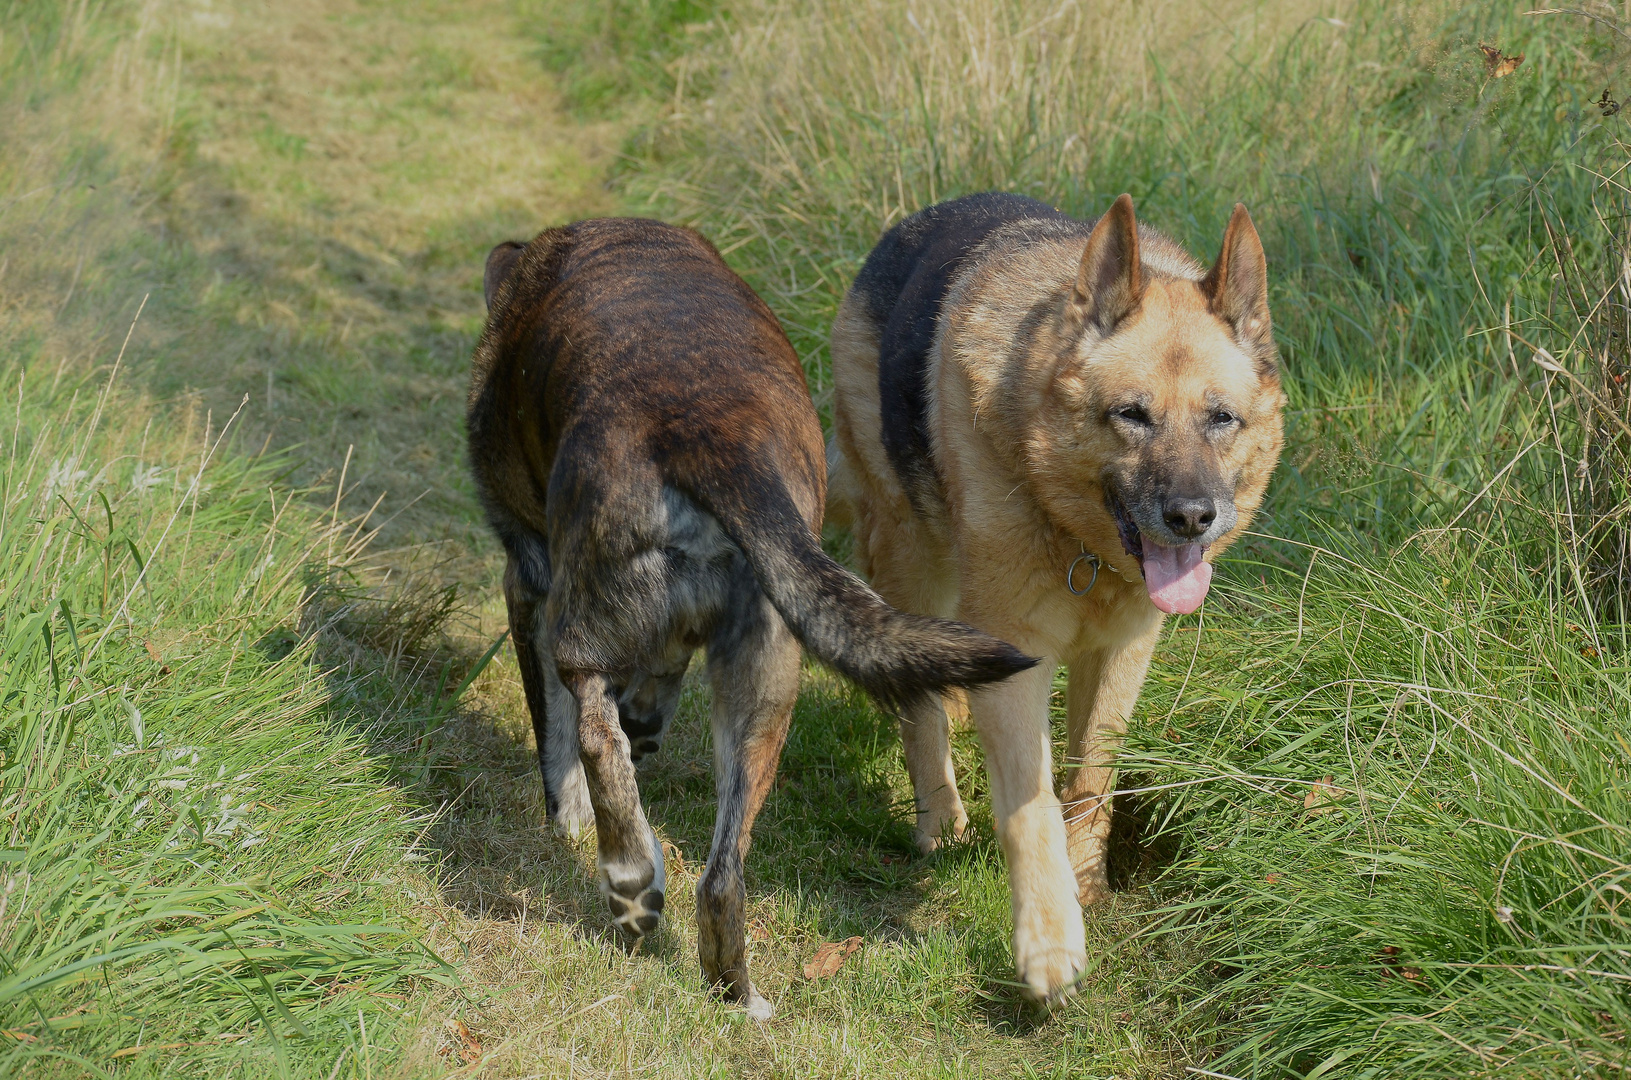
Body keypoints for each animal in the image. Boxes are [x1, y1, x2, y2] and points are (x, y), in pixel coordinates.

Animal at [466, 215, 1037, 1018]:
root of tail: (713, 435)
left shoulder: (528, 579)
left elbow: (553, 737)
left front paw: (568, 818)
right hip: (766, 688)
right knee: (720, 876)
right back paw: (733, 989)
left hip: (583, 625)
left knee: (594, 735)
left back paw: (630, 882)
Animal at [828, 190, 1285, 1004]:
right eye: (1130, 415)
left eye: (1220, 418)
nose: (1192, 516)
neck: (1079, 545)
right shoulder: (1021, 664)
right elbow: (1030, 804)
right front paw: (1048, 942)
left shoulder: (1122, 654)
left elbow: (1090, 782)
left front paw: (1086, 884)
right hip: (911, 553)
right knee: (919, 712)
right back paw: (939, 817)